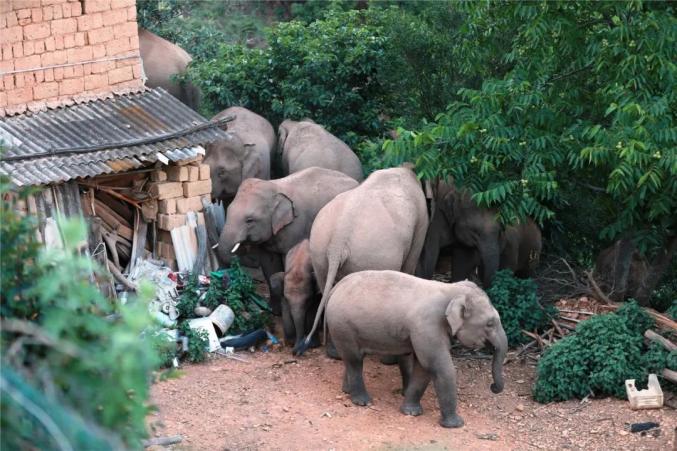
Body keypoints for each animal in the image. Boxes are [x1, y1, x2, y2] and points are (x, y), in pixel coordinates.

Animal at [218, 168, 360, 316]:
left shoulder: (296, 226)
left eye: (249, 220)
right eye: (228, 210)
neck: (274, 187)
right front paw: (274, 311)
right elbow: (268, 263)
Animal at [294, 166, 426, 356]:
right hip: (370, 255)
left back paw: (335, 353)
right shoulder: (422, 219)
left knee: (326, 287)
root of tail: (338, 239)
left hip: (318, 249)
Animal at [324, 270, 504, 430]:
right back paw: (363, 402)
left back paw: (347, 391)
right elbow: (435, 365)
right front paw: (455, 425)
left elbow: (422, 367)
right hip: (343, 326)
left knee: (351, 360)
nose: (493, 388)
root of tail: (335, 288)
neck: (450, 289)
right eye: (490, 323)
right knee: (354, 360)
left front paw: (411, 412)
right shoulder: (428, 326)